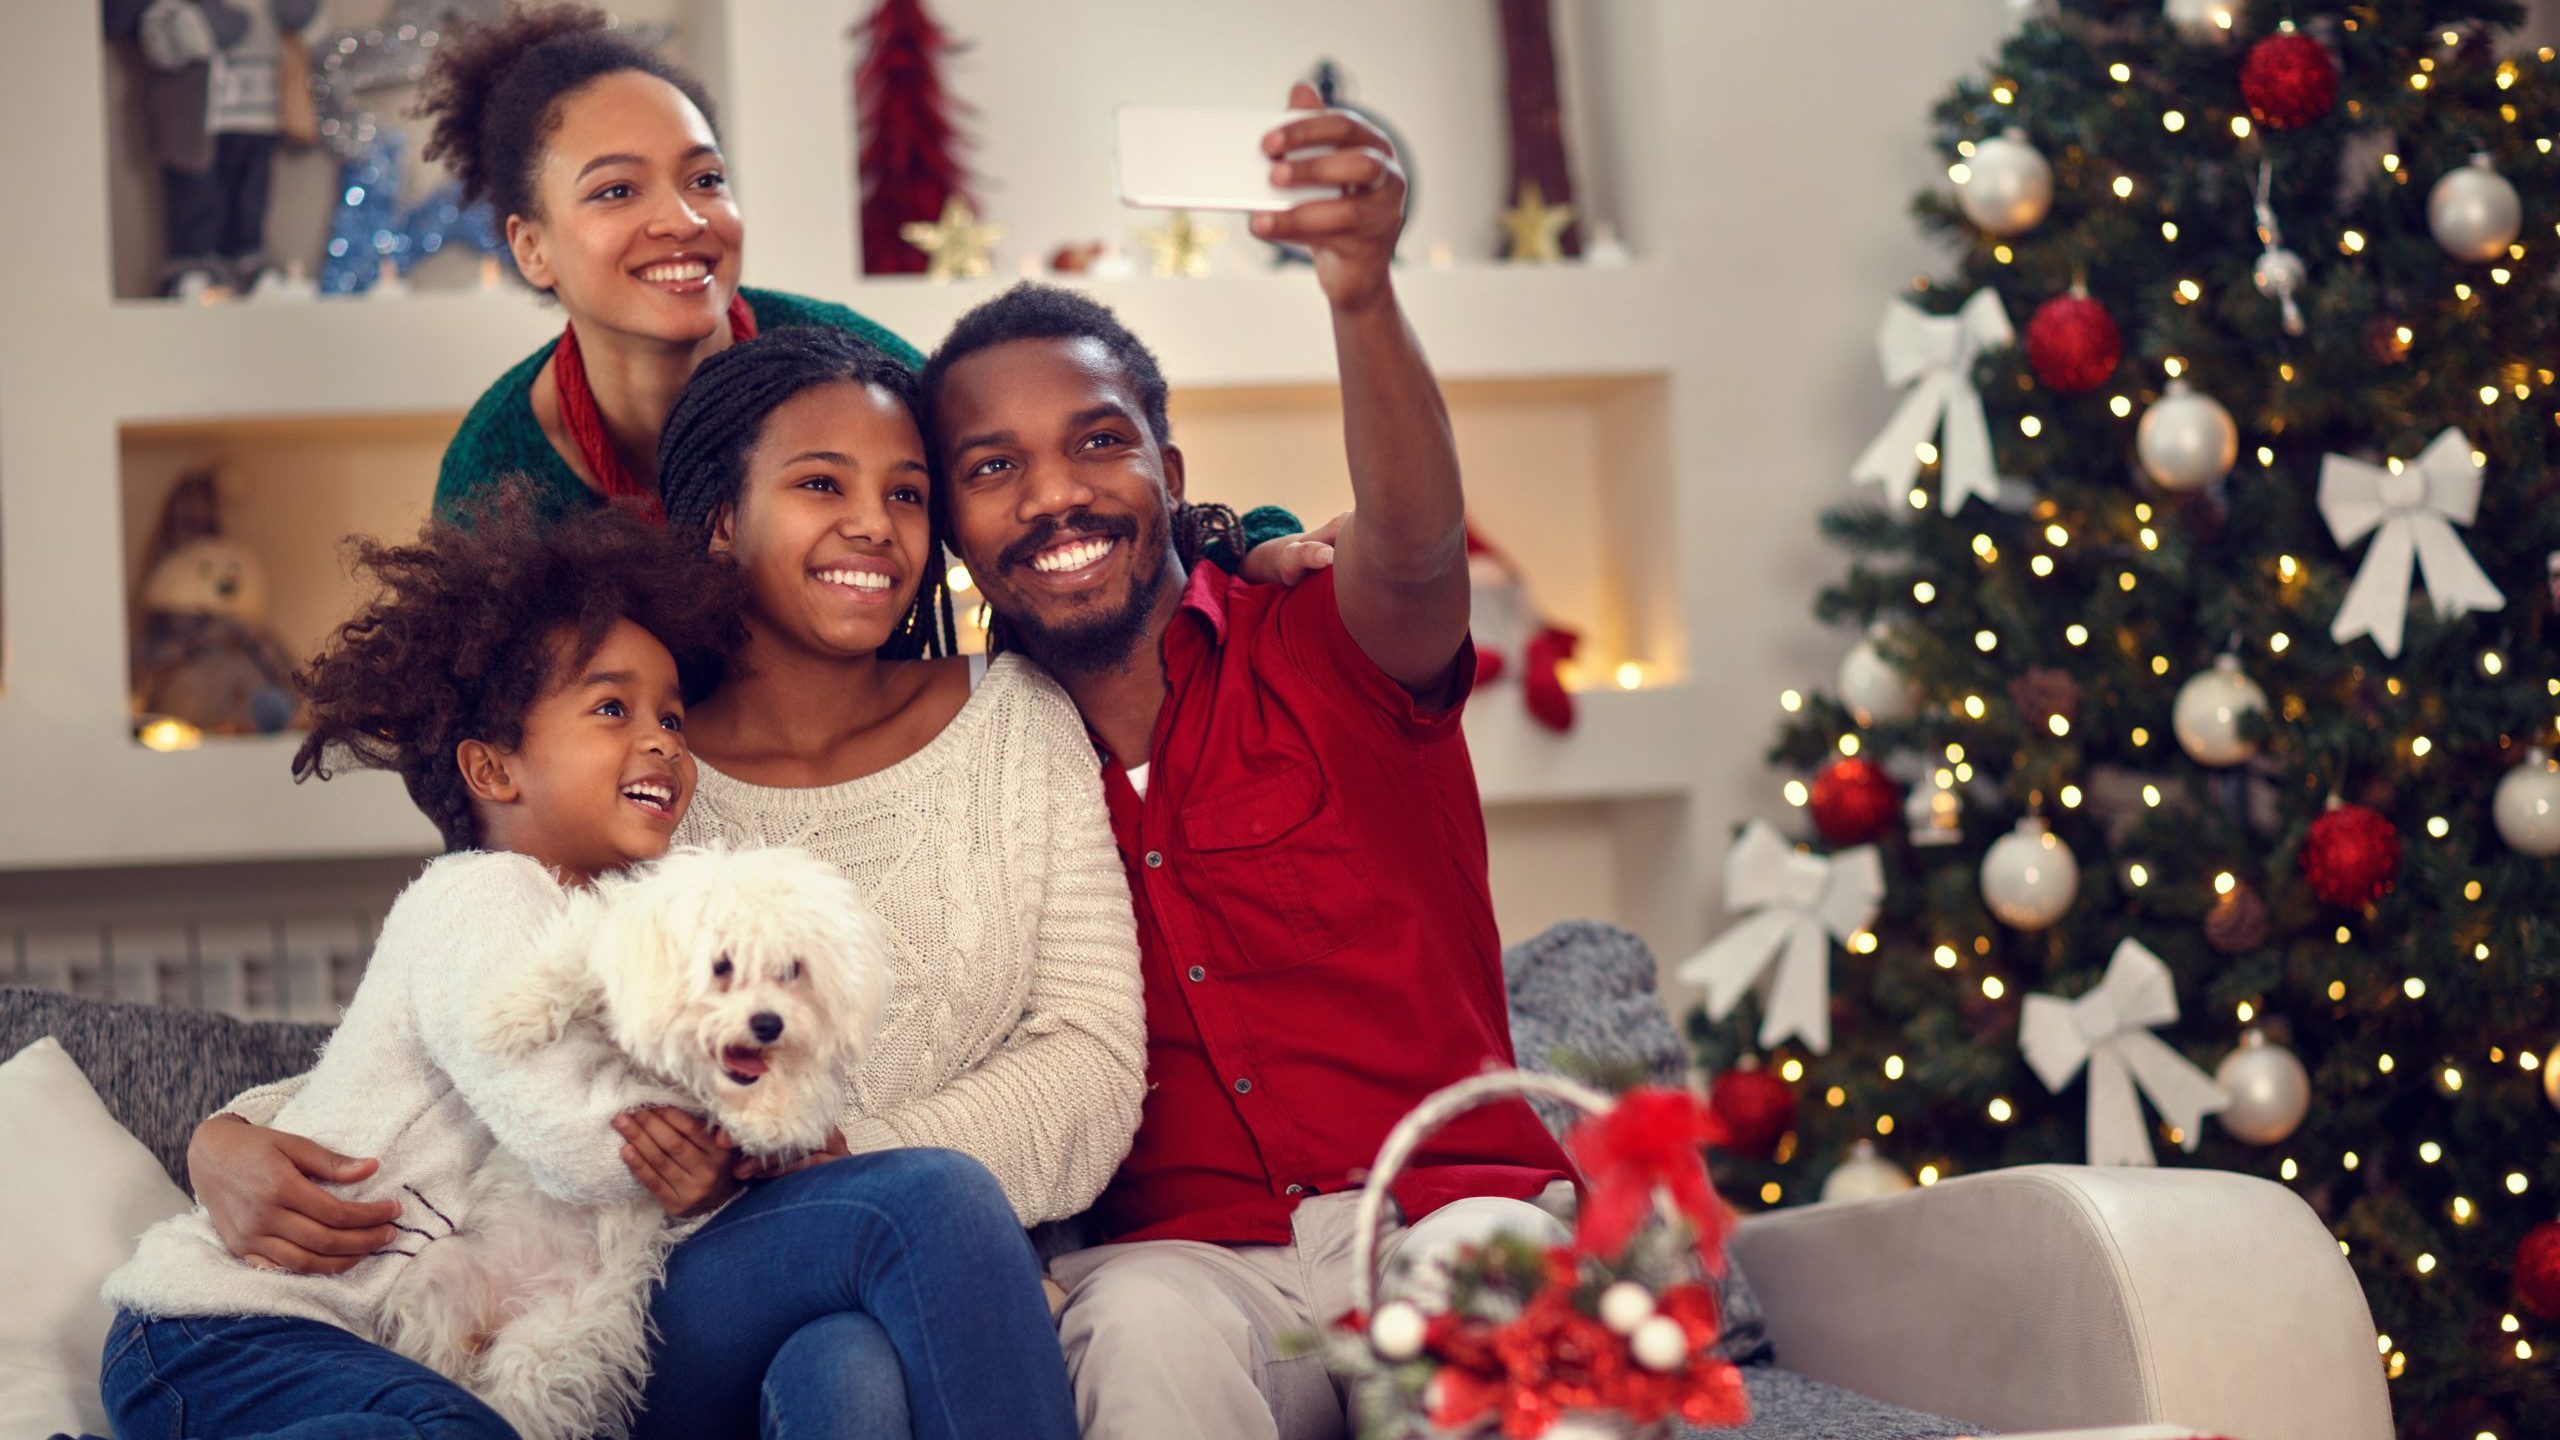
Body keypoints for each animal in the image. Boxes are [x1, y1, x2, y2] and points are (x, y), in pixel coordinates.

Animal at [373, 840, 896, 1434]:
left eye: (793, 971)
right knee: (444, 1352)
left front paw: (773, 1112)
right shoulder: (605, 952)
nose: (769, 1025)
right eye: (722, 964)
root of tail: (502, 1312)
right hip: (439, 1279)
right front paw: (510, 1013)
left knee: (515, 1396)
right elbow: (566, 970)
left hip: (558, 1337)